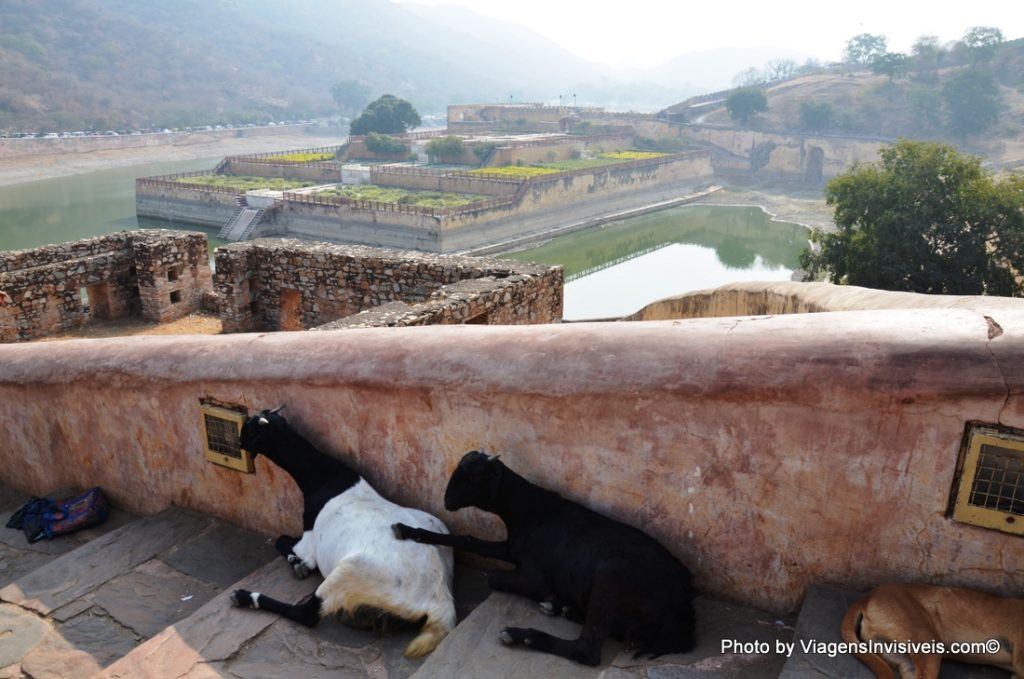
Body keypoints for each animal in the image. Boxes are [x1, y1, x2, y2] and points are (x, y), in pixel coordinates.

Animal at [234, 409, 458, 659]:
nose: (238, 443)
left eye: (249, 428)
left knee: (306, 613)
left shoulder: (309, 542)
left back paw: (247, 597)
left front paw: (297, 564)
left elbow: (282, 541)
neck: (324, 478)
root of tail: (439, 598)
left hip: (350, 571)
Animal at [391, 448, 696, 667]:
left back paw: (523, 634)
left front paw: (547, 600)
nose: (447, 501)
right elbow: (469, 540)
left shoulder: (536, 576)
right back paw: (564, 609)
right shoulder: (512, 547)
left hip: (612, 573)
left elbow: (495, 577)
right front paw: (407, 530)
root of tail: (684, 607)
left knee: (587, 650)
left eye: (474, 477)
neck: (531, 510)